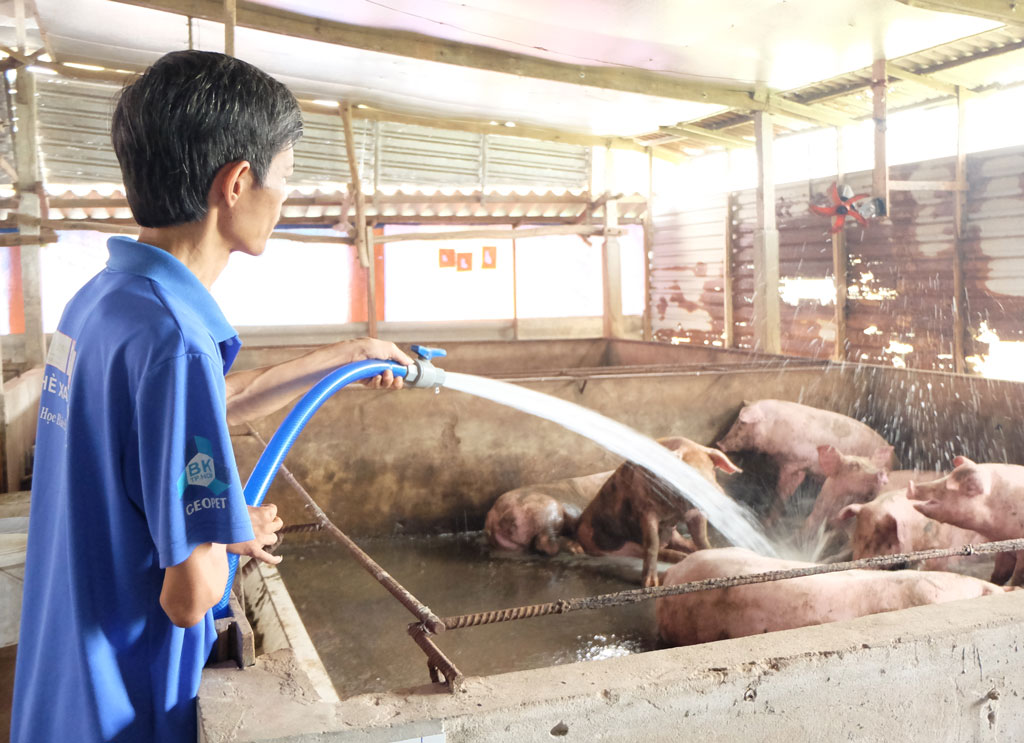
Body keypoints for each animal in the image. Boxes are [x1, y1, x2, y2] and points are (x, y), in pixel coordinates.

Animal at [574, 436, 742, 587]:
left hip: (673, 534)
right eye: (687, 473)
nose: (715, 494)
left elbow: (701, 538)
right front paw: (650, 584)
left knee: (684, 543)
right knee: (653, 551)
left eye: (712, 469)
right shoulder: (647, 512)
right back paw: (680, 558)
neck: (676, 508)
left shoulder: (694, 513)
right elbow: (651, 544)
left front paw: (712, 553)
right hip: (610, 548)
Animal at [908, 457, 1024, 585]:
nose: (911, 486)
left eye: (969, 487)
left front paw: (1011, 586)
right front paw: (992, 583)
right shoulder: (1004, 547)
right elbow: (1000, 572)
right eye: (948, 475)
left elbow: (1018, 576)